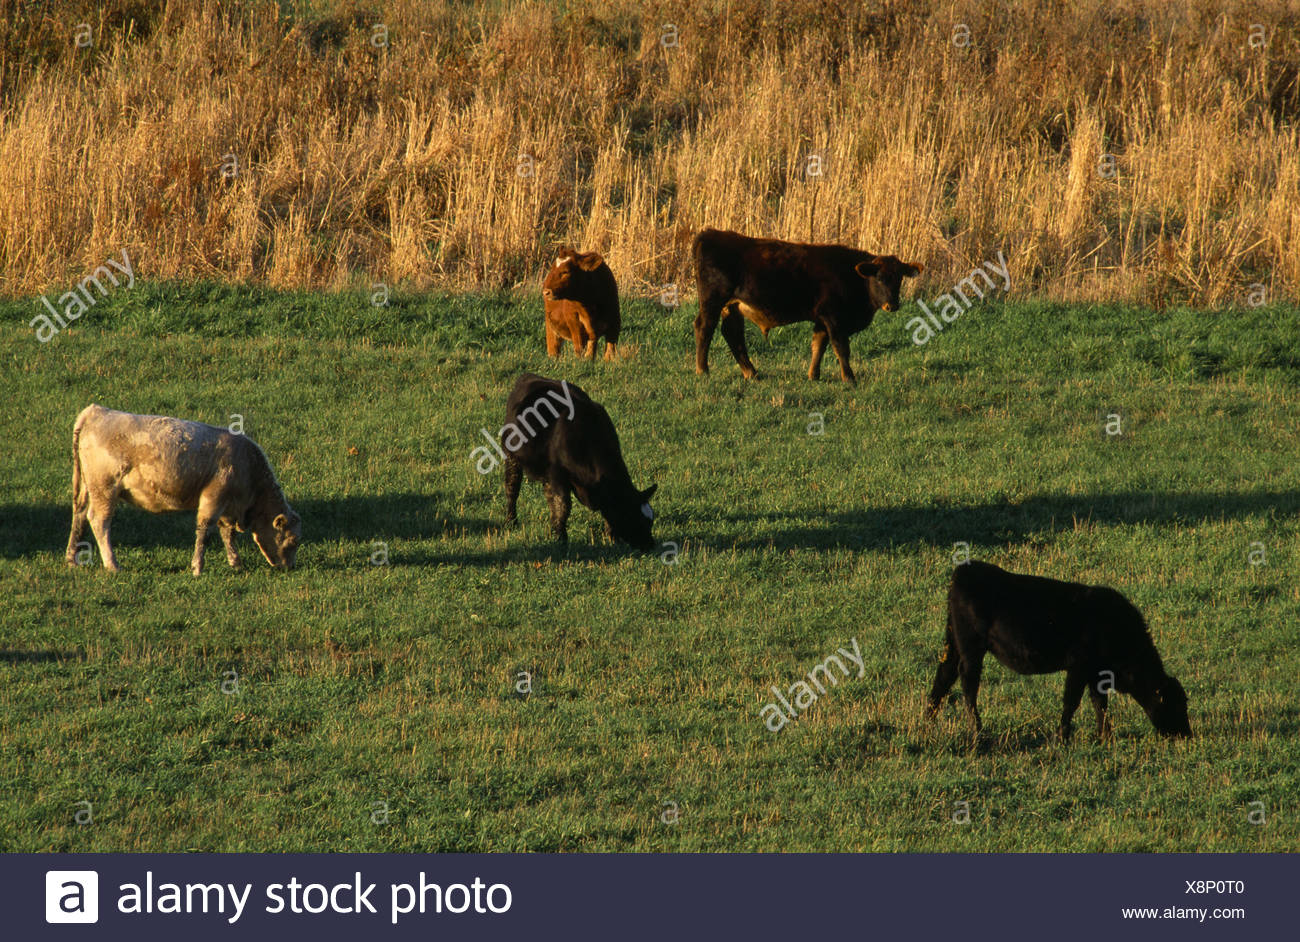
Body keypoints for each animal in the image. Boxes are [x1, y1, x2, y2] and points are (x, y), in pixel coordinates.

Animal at [65, 404, 301, 576]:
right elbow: (205, 531)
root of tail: (96, 411)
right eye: (292, 541)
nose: (289, 567)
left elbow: (227, 533)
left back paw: (72, 558)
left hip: (86, 487)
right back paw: (112, 564)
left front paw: (235, 562)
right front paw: (197, 568)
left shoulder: (227, 506)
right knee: (99, 521)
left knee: (79, 515)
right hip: (104, 488)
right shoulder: (213, 496)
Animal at [501, 373, 656, 550]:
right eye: (633, 516)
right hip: (511, 457)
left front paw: (612, 538)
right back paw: (511, 522)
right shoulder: (558, 474)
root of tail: (529, 376)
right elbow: (563, 506)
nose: (651, 544)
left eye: (651, 520)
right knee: (512, 489)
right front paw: (561, 539)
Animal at [692, 228, 922, 383]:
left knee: (732, 333)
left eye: (900, 278)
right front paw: (849, 378)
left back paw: (752, 373)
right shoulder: (834, 317)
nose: (892, 305)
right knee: (705, 328)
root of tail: (709, 234)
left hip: (731, 306)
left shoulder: (822, 319)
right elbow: (841, 348)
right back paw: (703, 369)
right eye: (880, 278)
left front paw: (814, 375)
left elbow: (818, 345)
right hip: (713, 300)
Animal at [925, 561, 1191, 742]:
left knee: (943, 676)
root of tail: (964, 570)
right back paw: (978, 732)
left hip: (953, 644)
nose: (1186, 734)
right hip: (971, 648)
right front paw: (1062, 737)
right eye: (1175, 704)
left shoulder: (1096, 673)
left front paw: (1105, 737)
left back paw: (928, 720)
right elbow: (1072, 702)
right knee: (968, 684)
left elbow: (1100, 703)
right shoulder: (1079, 666)